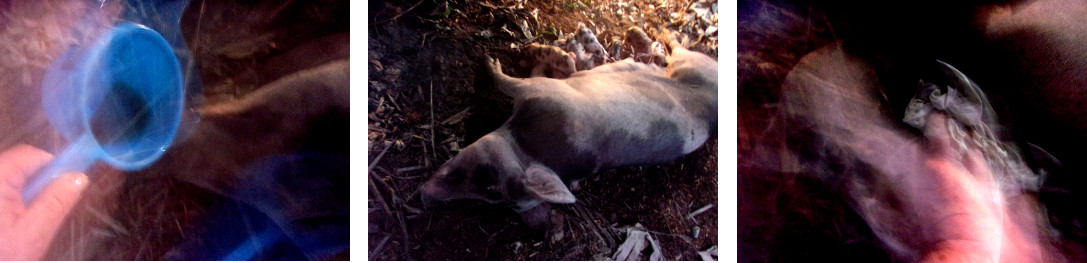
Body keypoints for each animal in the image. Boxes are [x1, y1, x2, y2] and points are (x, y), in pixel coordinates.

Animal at [419, 30, 717, 228]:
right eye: (495, 200)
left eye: (491, 189)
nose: (422, 196)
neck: (526, 146)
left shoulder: (543, 92)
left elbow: (510, 81)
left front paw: (490, 62)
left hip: (693, 65)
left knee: (679, 50)